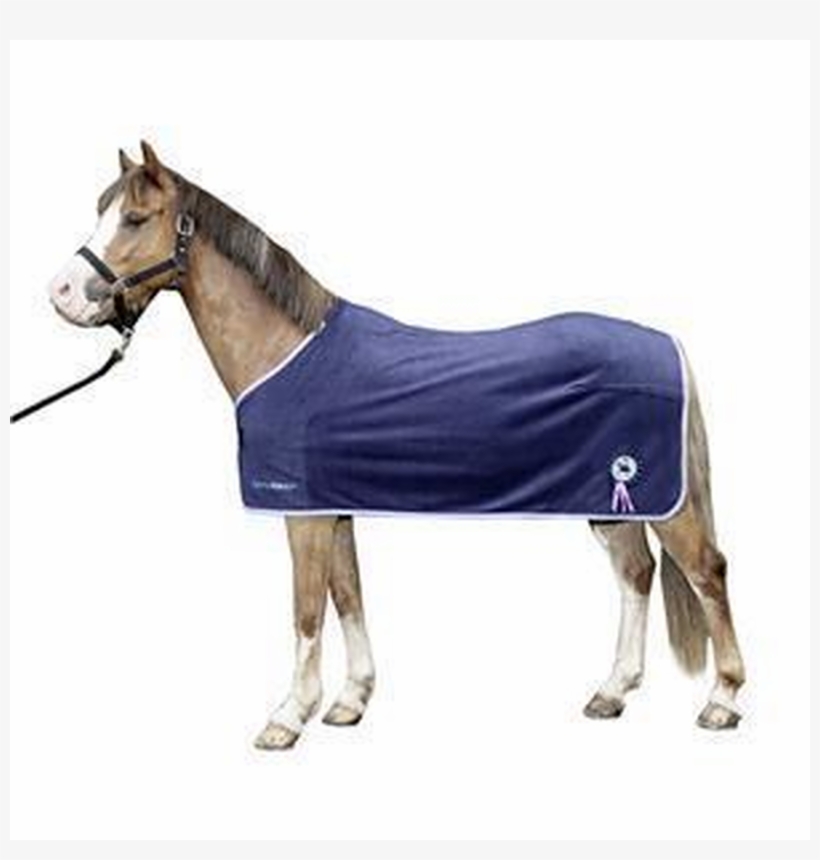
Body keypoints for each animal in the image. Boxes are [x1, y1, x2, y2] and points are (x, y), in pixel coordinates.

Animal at [44, 141, 745, 750]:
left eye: (135, 218)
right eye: (103, 212)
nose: (62, 294)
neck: (287, 352)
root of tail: (668, 346)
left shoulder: (301, 512)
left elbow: (306, 610)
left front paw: (287, 718)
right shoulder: (333, 506)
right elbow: (348, 595)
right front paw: (350, 701)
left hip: (659, 499)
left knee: (706, 572)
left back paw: (722, 701)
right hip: (611, 502)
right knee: (637, 574)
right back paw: (612, 692)